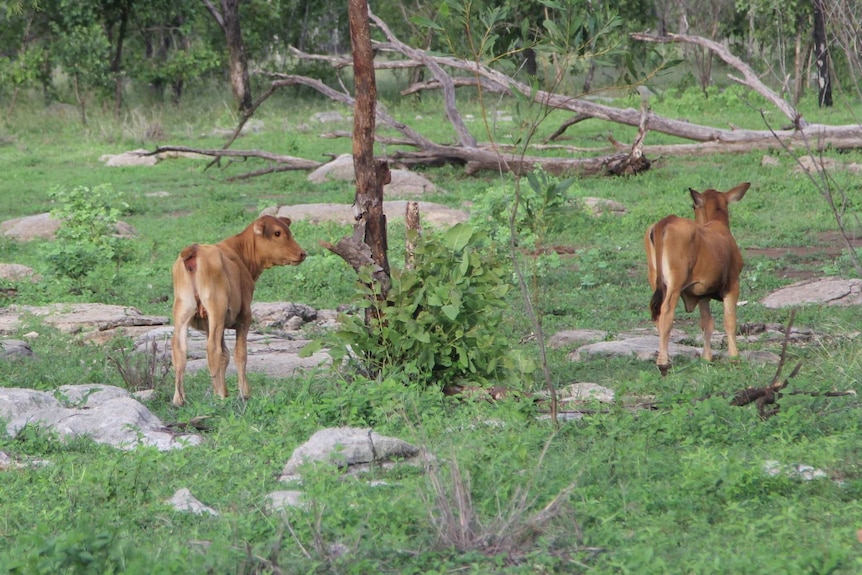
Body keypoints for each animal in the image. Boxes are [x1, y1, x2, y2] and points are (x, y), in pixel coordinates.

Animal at [170, 214, 306, 408]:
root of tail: (195, 249)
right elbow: (239, 354)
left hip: (183, 310)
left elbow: (225, 355)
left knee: (179, 350)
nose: (302, 253)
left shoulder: (206, 323)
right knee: (212, 349)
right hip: (216, 308)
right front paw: (244, 393)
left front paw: (225, 391)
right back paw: (218, 396)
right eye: (277, 233)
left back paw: (179, 399)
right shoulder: (244, 316)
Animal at [648, 182, 748, 376]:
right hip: (674, 283)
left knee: (656, 314)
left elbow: (707, 323)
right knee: (666, 312)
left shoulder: (702, 294)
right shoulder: (733, 285)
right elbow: (730, 321)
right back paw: (663, 363)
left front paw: (706, 357)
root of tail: (666, 222)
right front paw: (734, 357)